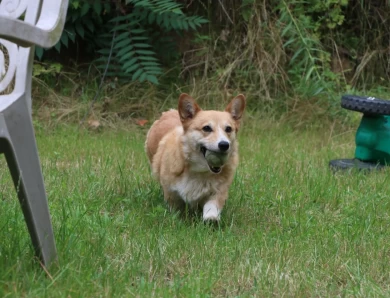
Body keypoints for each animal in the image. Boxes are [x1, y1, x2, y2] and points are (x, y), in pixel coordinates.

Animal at [145, 93, 245, 221]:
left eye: (228, 129)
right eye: (206, 128)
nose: (224, 145)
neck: (200, 171)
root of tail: (168, 112)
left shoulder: (218, 192)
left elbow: (212, 207)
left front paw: (211, 219)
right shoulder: (171, 192)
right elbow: (176, 208)